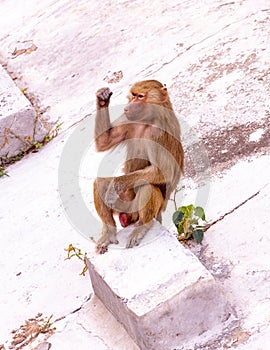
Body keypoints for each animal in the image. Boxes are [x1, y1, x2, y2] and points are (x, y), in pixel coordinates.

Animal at [94, 79, 185, 254]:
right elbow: (105, 140)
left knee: (146, 185)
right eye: (133, 95)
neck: (148, 120)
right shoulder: (129, 119)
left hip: (138, 208)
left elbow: (163, 173)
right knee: (100, 183)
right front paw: (102, 98)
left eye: (141, 96)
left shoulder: (159, 133)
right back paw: (109, 233)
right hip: (124, 204)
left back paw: (142, 226)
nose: (127, 107)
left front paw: (116, 184)